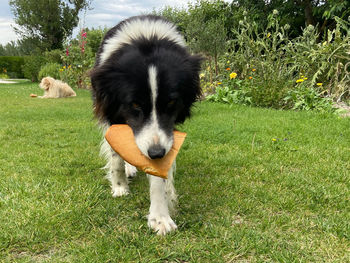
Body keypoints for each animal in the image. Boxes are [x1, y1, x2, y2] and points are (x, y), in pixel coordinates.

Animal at [90, 15, 202, 236]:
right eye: (134, 104)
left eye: (171, 102)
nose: (156, 153)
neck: (147, 37)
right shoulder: (113, 112)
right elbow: (116, 156)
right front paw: (120, 186)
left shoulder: (166, 131)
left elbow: (159, 174)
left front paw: (160, 217)